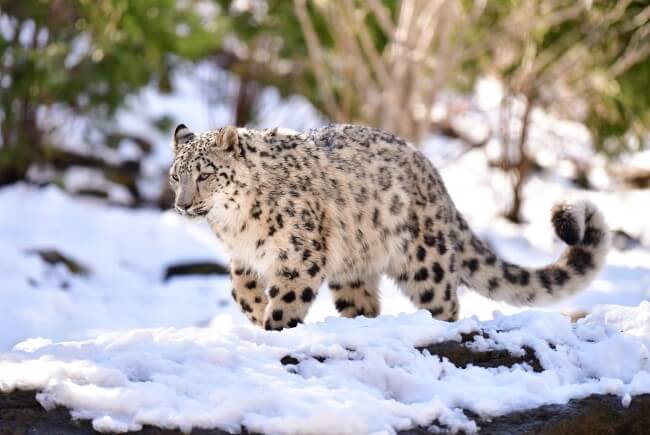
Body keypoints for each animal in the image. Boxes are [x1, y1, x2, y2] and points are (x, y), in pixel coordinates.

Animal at [169, 123, 610, 330]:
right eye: (176, 176)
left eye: (205, 174)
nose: (182, 204)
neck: (234, 225)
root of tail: (434, 176)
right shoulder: (242, 256)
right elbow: (239, 289)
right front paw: (256, 310)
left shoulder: (299, 253)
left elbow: (288, 299)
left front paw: (274, 324)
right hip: (353, 268)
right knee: (365, 304)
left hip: (426, 263)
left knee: (446, 304)